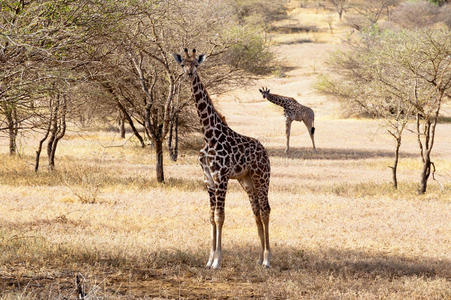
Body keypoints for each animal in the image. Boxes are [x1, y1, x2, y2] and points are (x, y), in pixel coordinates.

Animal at [173, 48, 272, 268]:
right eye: (183, 64)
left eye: (196, 64)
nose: (189, 74)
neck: (208, 134)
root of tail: (265, 152)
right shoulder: (208, 179)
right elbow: (211, 217)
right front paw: (209, 259)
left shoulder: (221, 177)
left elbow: (220, 216)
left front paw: (217, 260)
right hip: (247, 181)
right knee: (255, 211)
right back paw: (259, 258)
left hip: (262, 178)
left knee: (265, 210)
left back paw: (267, 259)